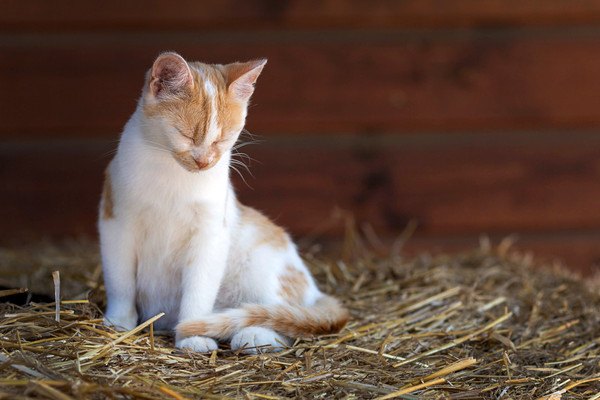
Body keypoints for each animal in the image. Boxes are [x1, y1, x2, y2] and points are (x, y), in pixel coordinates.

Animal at [99, 50, 350, 354]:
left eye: (223, 139)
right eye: (186, 134)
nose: (204, 161)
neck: (173, 176)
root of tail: (315, 291)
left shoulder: (211, 235)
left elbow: (199, 289)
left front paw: (192, 335)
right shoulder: (116, 223)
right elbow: (120, 281)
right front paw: (119, 322)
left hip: (262, 266)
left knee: (288, 320)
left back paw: (253, 336)